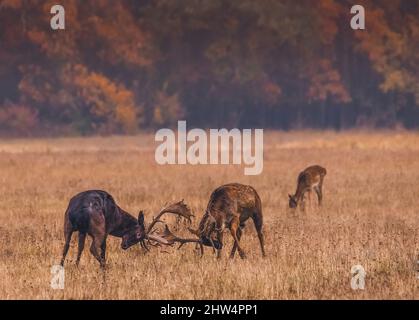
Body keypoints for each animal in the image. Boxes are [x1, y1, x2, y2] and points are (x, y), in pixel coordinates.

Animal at [60, 190, 194, 268]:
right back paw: (105, 266)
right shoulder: (107, 229)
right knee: (93, 248)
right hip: (99, 228)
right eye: (139, 234)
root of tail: (79, 211)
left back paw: (61, 266)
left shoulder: (82, 231)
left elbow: (80, 248)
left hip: (67, 223)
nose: (124, 246)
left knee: (66, 246)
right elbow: (103, 250)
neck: (117, 220)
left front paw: (76, 266)